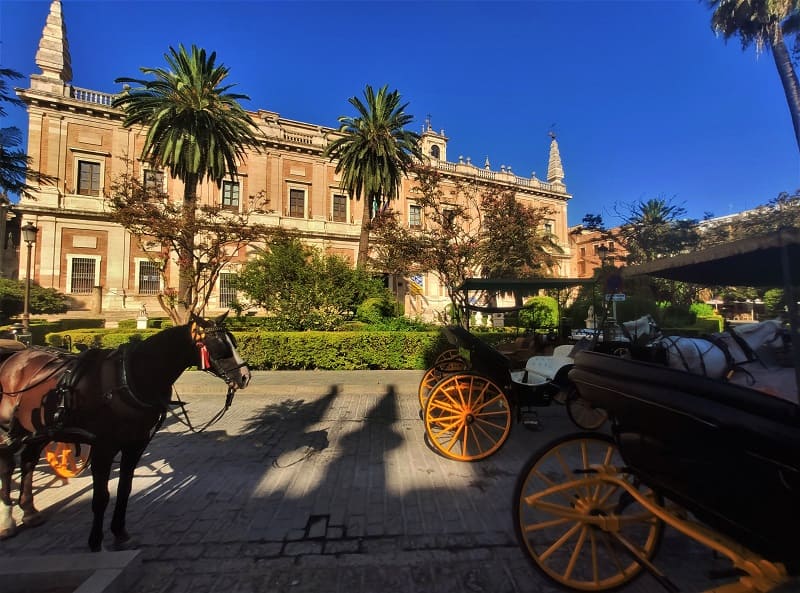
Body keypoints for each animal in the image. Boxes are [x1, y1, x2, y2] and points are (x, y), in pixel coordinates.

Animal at [0, 312, 250, 548]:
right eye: (220, 346)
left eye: (233, 340)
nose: (245, 376)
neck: (132, 377)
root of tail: (17, 356)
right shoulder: (103, 447)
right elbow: (101, 496)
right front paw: (95, 542)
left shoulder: (136, 444)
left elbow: (124, 489)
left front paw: (120, 532)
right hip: (9, 429)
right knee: (8, 465)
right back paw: (7, 521)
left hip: (39, 428)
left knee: (28, 460)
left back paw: (30, 511)